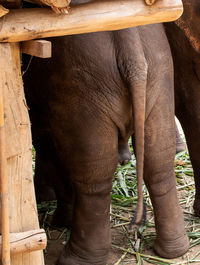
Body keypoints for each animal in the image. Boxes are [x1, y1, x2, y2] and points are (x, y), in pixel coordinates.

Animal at [23, 18, 189, 264]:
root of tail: (128, 40)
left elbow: (46, 142)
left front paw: (58, 217)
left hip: (83, 91)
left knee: (94, 172)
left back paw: (76, 258)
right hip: (160, 76)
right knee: (158, 159)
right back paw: (173, 251)